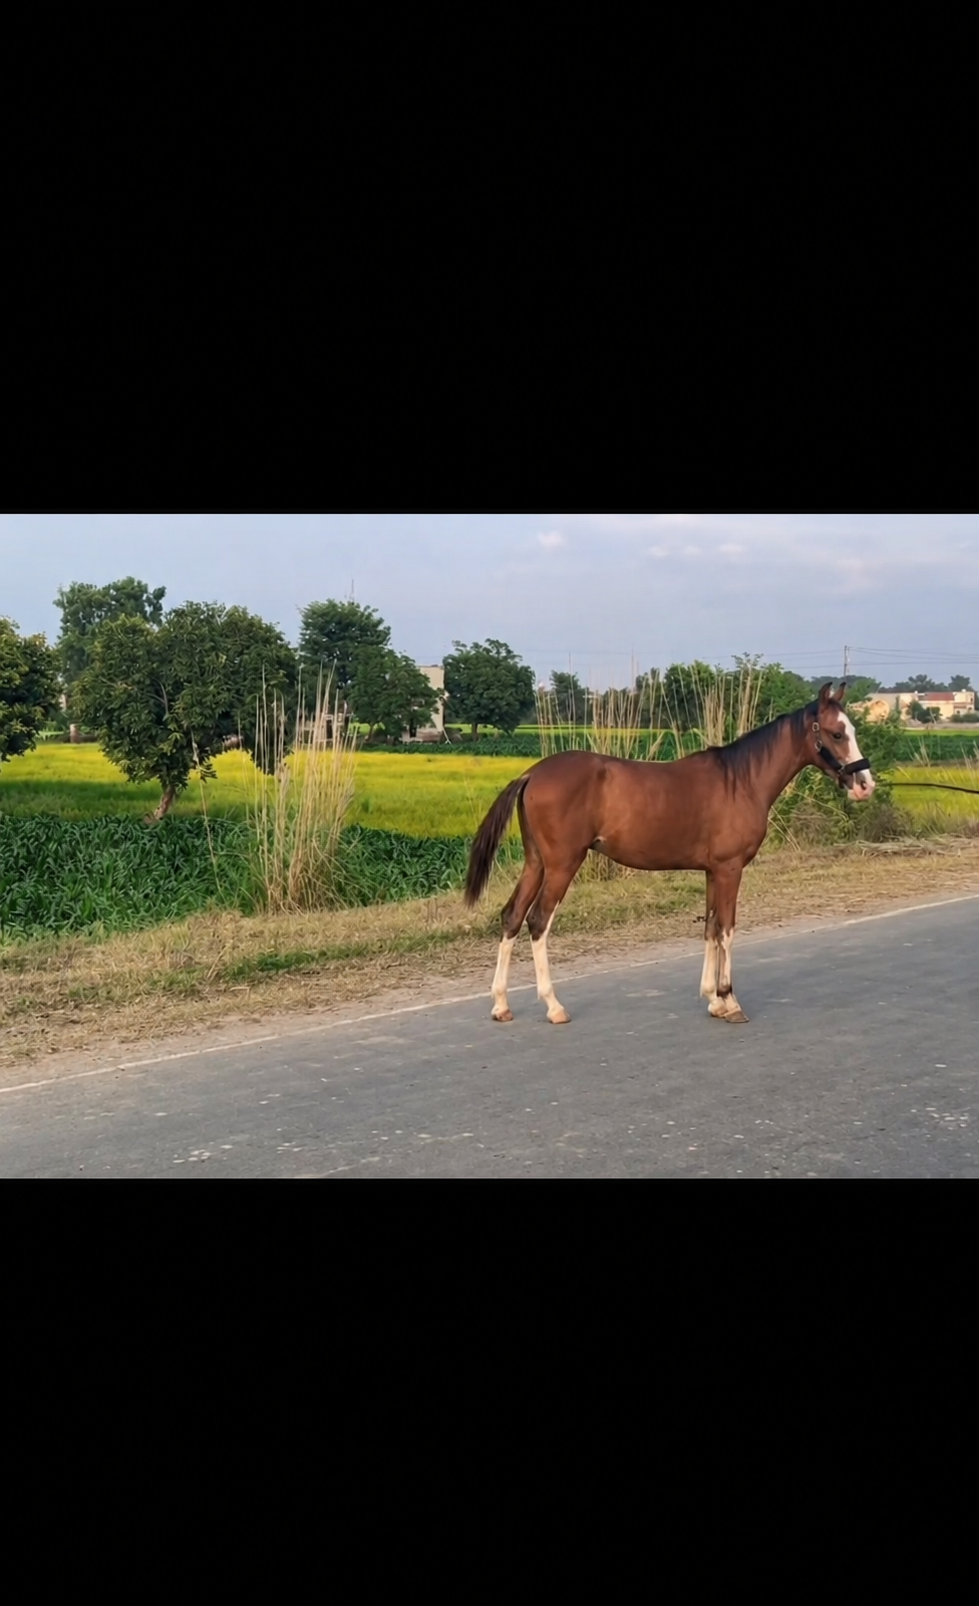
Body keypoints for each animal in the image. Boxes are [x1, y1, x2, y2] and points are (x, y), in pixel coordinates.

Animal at [464, 682, 875, 1026]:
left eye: (852, 730)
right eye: (837, 733)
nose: (865, 784)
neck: (741, 780)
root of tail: (532, 773)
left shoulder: (712, 871)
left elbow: (710, 928)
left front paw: (713, 1000)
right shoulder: (730, 870)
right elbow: (727, 930)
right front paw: (730, 1001)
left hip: (536, 863)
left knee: (512, 917)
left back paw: (501, 1004)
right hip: (563, 865)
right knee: (538, 922)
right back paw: (553, 1006)